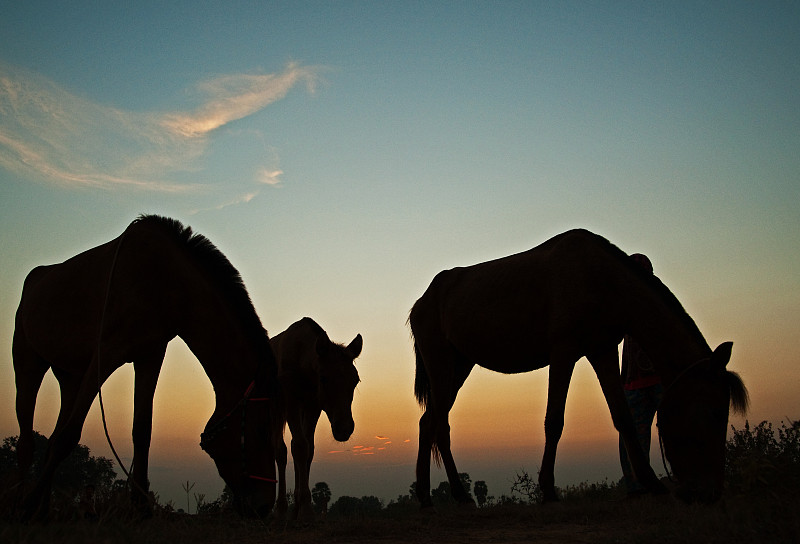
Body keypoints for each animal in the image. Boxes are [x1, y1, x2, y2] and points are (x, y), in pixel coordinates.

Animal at [11, 214, 282, 520]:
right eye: (261, 431)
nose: (264, 506)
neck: (163, 281)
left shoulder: (150, 356)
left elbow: (141, 430)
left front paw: (141, 507)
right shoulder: (105, 354)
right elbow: (70, 435)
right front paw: (28, 503)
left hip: (69, 376)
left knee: (53, 435)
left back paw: (43, 512)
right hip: (28, 364)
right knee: (27, 442)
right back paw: (23, 504)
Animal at [274, 316, 364, 520]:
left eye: (355, 380)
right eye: (323, 378)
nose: (344, 428)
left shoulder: (312, 406)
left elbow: (308, 449)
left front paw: (301, 508)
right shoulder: (291, 401)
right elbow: (299, 446)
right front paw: (306, 510)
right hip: (276, 410)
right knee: (280, 452)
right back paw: (280, 510)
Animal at [410, 226, 748, 506]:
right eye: (714, 413)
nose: (712, 492)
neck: (601, 279)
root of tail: (421, 301)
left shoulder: (602, 351)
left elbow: (623, 417)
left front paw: (652, 483)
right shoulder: (563, 352)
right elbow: (554, 421)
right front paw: (547, 490)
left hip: (459, 367)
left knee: (428, 422)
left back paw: (426, 498)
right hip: (441, 364)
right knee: (440, 425)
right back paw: (458, 494)